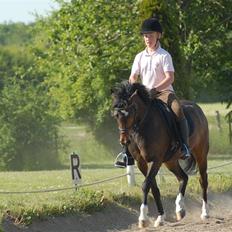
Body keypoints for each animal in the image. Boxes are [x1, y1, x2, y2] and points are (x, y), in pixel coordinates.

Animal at [111, 81, 209, 228]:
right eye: (116, 115)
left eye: (131, 112)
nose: (124, 141)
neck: (144, 126)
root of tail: (197, 108)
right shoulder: (141, 162)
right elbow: (154, 188)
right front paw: (160, 218)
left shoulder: (157, 160)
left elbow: (146, 185)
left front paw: (143, 219)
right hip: (170, 161)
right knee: (183, 178)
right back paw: (180, 209)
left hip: (201, 154)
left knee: (203, 180)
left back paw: (205, 213)